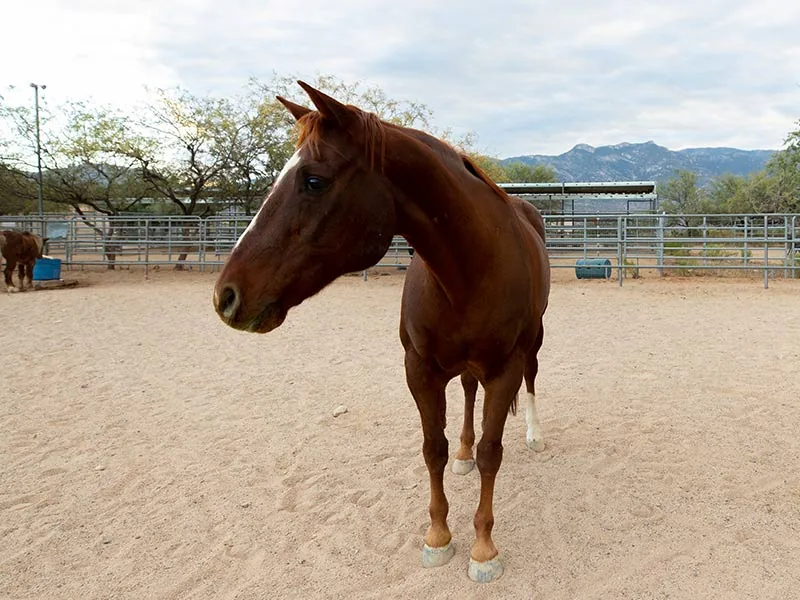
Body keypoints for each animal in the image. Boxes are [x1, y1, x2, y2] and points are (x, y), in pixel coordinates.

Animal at [212, 82, 550, 583]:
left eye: (314, 180)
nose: (226, 295)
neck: (471, 269)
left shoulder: (503, 369)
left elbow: (494, 452)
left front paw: (484, 549)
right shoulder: (420, 370)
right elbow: (433, 449)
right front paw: (438, 536)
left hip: (534, 342)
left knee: (530, 379)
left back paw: (533, 433)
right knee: (468, 393)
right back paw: (465, 454)